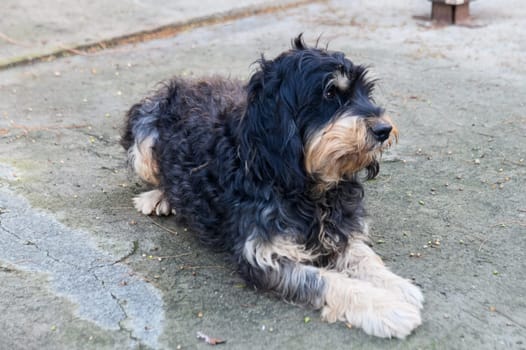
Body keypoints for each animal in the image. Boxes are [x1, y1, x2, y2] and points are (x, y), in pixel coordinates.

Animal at [120, 36, 424, 340]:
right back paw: (159, 196)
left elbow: (365, 257)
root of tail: (184, 82)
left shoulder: (337, 228)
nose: (384, 129)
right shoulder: (264, 256)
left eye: (366, 92)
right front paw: (387, 308)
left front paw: (397, 286)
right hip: (144, 132)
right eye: (329, 93)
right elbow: (326, 281)